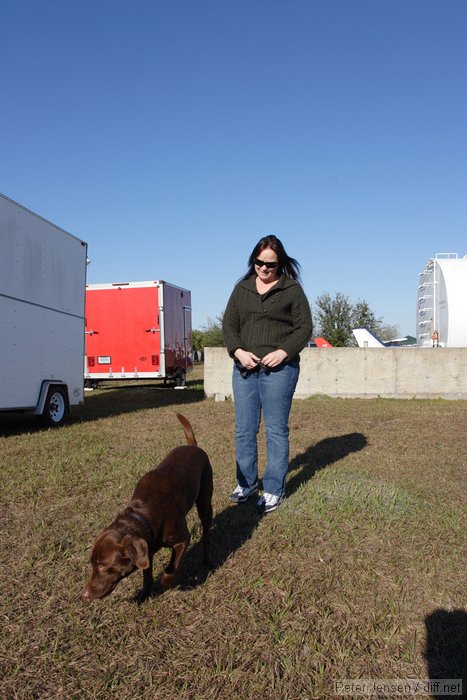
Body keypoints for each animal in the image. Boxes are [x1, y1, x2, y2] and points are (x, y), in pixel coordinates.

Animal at [82, 416, 214, 600]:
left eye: (102, 566)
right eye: (92, 563)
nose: (84, 595)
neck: (141, 515)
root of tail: (193, 447)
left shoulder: (182, 540)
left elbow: (170, 568)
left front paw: (167, 583)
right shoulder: (146, 549)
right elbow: (147, 576)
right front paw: (144, 595)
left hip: (204, 500)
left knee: (207, 531)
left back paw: (207, 560)